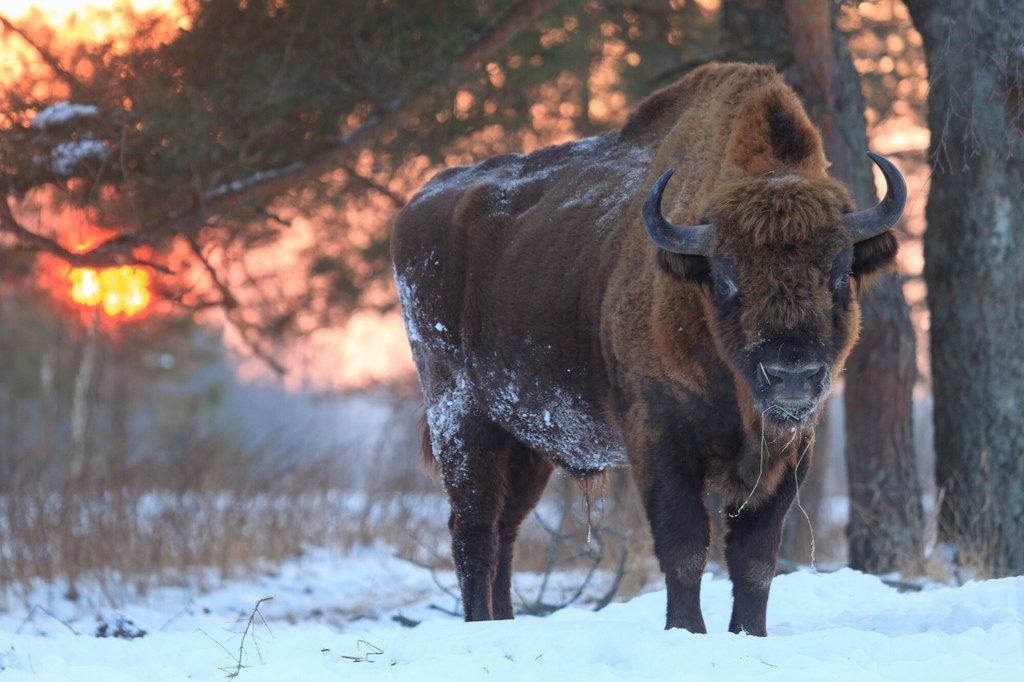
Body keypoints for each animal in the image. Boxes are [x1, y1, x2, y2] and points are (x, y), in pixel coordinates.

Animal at [389, 61, 905, 634]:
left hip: (523, 441)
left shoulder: (791, 452)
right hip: (460, 417)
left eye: (840, 273)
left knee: (506, 527)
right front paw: (687, 631)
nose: (791, 375)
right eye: (726, 277)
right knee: (473, 526)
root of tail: (418, 205)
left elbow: (755, 558)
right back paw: (481, 624)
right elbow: (685, 547)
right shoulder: (660, 439)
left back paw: (504, 622)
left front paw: (750, 634)